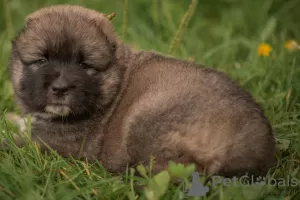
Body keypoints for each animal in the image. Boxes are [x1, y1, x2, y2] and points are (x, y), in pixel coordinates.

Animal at [8, 4, 276, 177]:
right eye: (42, 60)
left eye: (84, 65)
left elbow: (17, 143)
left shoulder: (56, 141)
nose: (60, 88)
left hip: (147, 120)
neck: (115, 83)